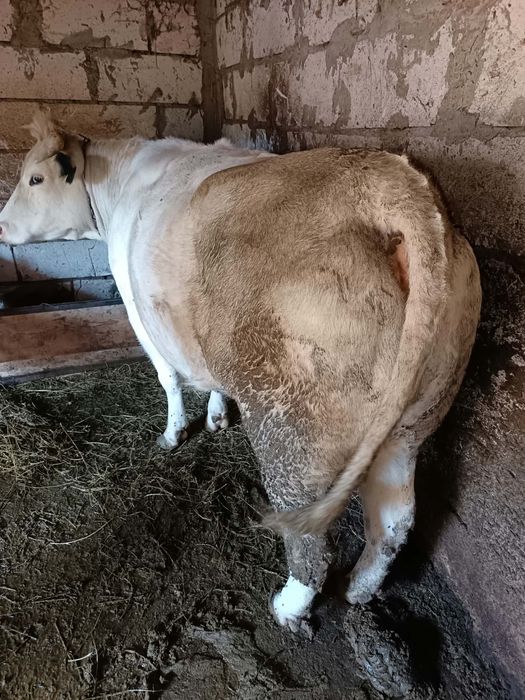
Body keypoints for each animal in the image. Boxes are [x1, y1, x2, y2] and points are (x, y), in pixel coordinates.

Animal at [0, 110, 481, 632]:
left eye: (34, 178)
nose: (1, 225)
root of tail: (390, 180)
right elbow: (209, 379)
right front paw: (215, 417)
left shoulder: (138, 310)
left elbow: (169, 379)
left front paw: (173, 434)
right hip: (416, 416)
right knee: (395, 519)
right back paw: (360, 588)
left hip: (293, 424)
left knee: (311, 539)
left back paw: (288, 606)